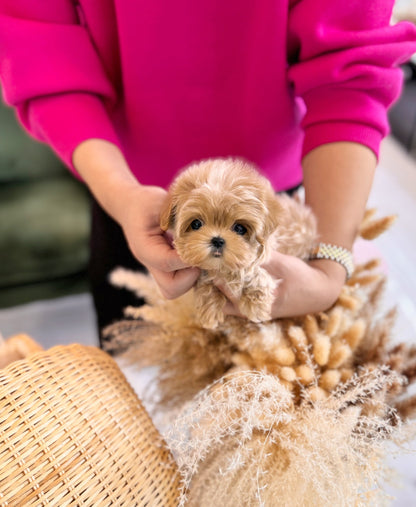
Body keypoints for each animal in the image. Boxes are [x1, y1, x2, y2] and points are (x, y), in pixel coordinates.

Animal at [159, 158, 316, 330]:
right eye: (196, 224)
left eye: (240, 228)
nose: (217, 240)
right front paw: (209, 311)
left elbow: (254, 271)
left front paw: (256, 307)